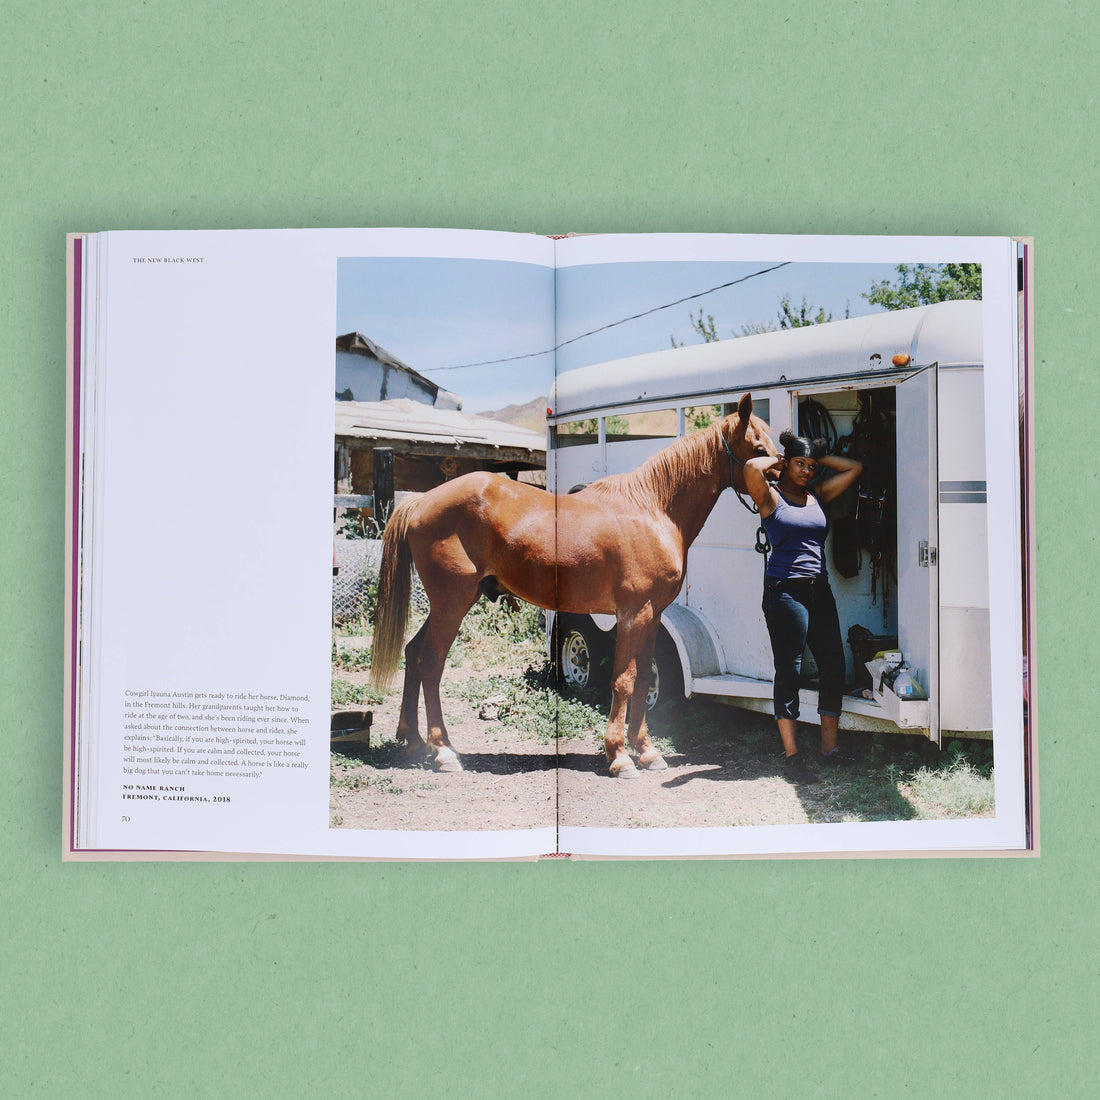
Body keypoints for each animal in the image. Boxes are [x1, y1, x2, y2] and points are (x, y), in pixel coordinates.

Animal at [369, 393, 776, 778]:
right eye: (758, 448)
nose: (779, 490)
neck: (652, 510)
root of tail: (421, 502)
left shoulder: (653, 615)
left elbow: (645, 677)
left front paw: (646, 751)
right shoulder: (633, 614)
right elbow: (624, 679)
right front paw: (619, 756)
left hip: (449, 604)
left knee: (412, 653)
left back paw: (413, 739)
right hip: (452, 603)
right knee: (431, 662)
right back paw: (444, 751)